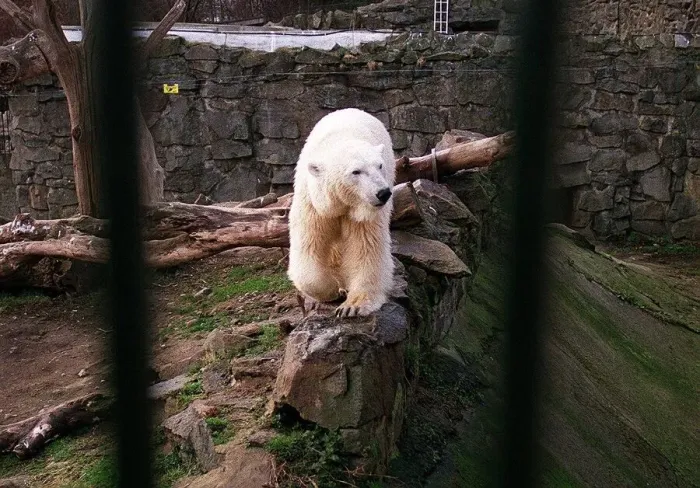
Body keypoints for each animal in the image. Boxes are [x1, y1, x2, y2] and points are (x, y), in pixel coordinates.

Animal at [287, 108, 396, 317]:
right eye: (356, 171)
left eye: (379, 165)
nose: (383, 193)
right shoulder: (313, 205)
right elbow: (308, 246)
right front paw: (333, 290)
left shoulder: (365, 214)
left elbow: (366, 246)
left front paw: (352, 305)